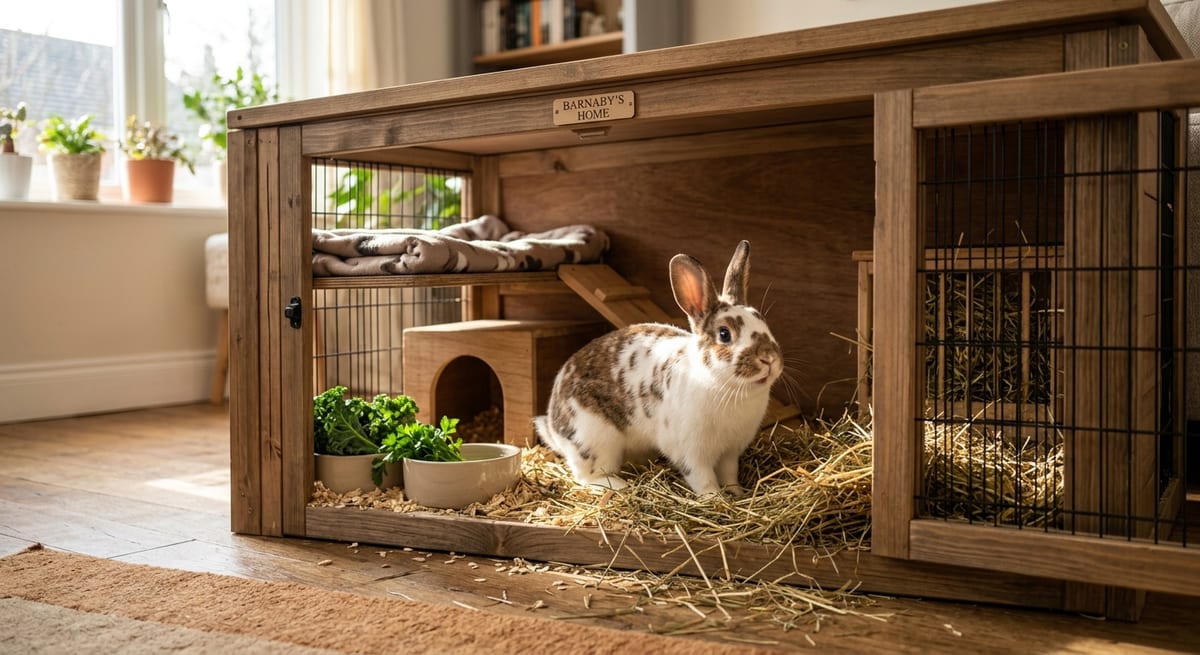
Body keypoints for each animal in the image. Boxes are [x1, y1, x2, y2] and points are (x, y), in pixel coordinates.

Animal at [534, 240, 782, 497]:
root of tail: (554, 423)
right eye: (724, 334)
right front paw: (715, 499)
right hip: (596, 439)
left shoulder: (730, 453)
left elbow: (729, 475)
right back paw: (618, 485)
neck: (727, 388)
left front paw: (737, 494)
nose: (769, 358)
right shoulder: (691, 454)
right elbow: (704, 480)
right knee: (587, 476)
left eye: (761, 320)